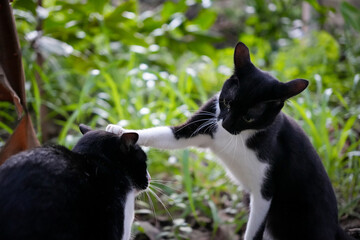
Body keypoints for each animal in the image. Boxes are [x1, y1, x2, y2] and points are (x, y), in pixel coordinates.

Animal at [107, 43, 354, 240]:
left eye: (249, 117)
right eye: (226, 102)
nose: (225, 124)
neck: (237, 137)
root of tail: (336, 227)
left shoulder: (264, 193)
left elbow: (255, 230)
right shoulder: (205, 120)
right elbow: (165, 134)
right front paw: (119, 130)